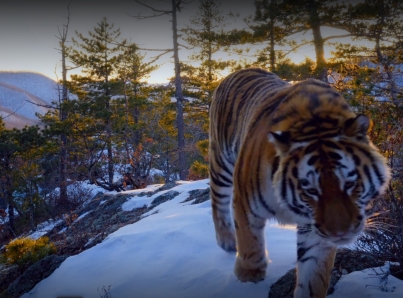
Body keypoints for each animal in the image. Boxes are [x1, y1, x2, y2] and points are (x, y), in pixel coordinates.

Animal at [208, 68, 392, 298]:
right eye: (311, 190)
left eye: (350, 183)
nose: (340, 233)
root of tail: (240, 70)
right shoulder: (244, 203)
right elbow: (250, 243)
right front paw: (249, 278)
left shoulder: (316, 231)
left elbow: (313, 276)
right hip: (221, 164)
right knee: (217, 200)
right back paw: (227, 241)